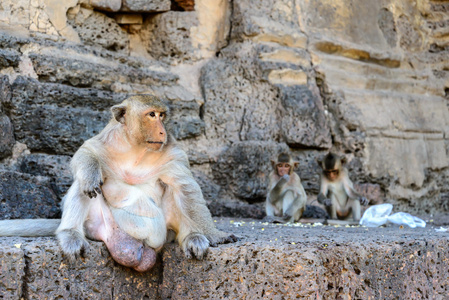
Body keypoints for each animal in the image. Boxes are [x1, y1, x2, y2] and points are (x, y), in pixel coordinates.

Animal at [0, 94, 238, 272]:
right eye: (152, 115)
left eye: (162, 115)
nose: (162, 131)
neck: (137, 149)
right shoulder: (108, 139)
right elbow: (85, 153)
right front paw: (90, 174)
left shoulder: (173, 152)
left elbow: (186, 189)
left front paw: (214, 234)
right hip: (98, 224)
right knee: (82, 184)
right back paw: (70, 234)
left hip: (166, 232)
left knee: (175, 192)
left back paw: (192, 237)